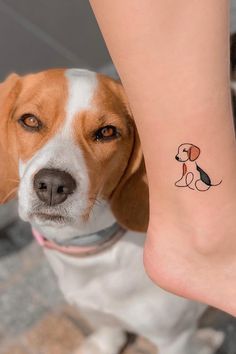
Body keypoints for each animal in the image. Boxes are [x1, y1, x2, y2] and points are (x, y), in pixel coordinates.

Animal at [0, 69, 223, 354]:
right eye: (30, 120)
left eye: (107, 132)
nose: (51, 185)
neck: (91, 255)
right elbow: (108, 329)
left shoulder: (175, 338)